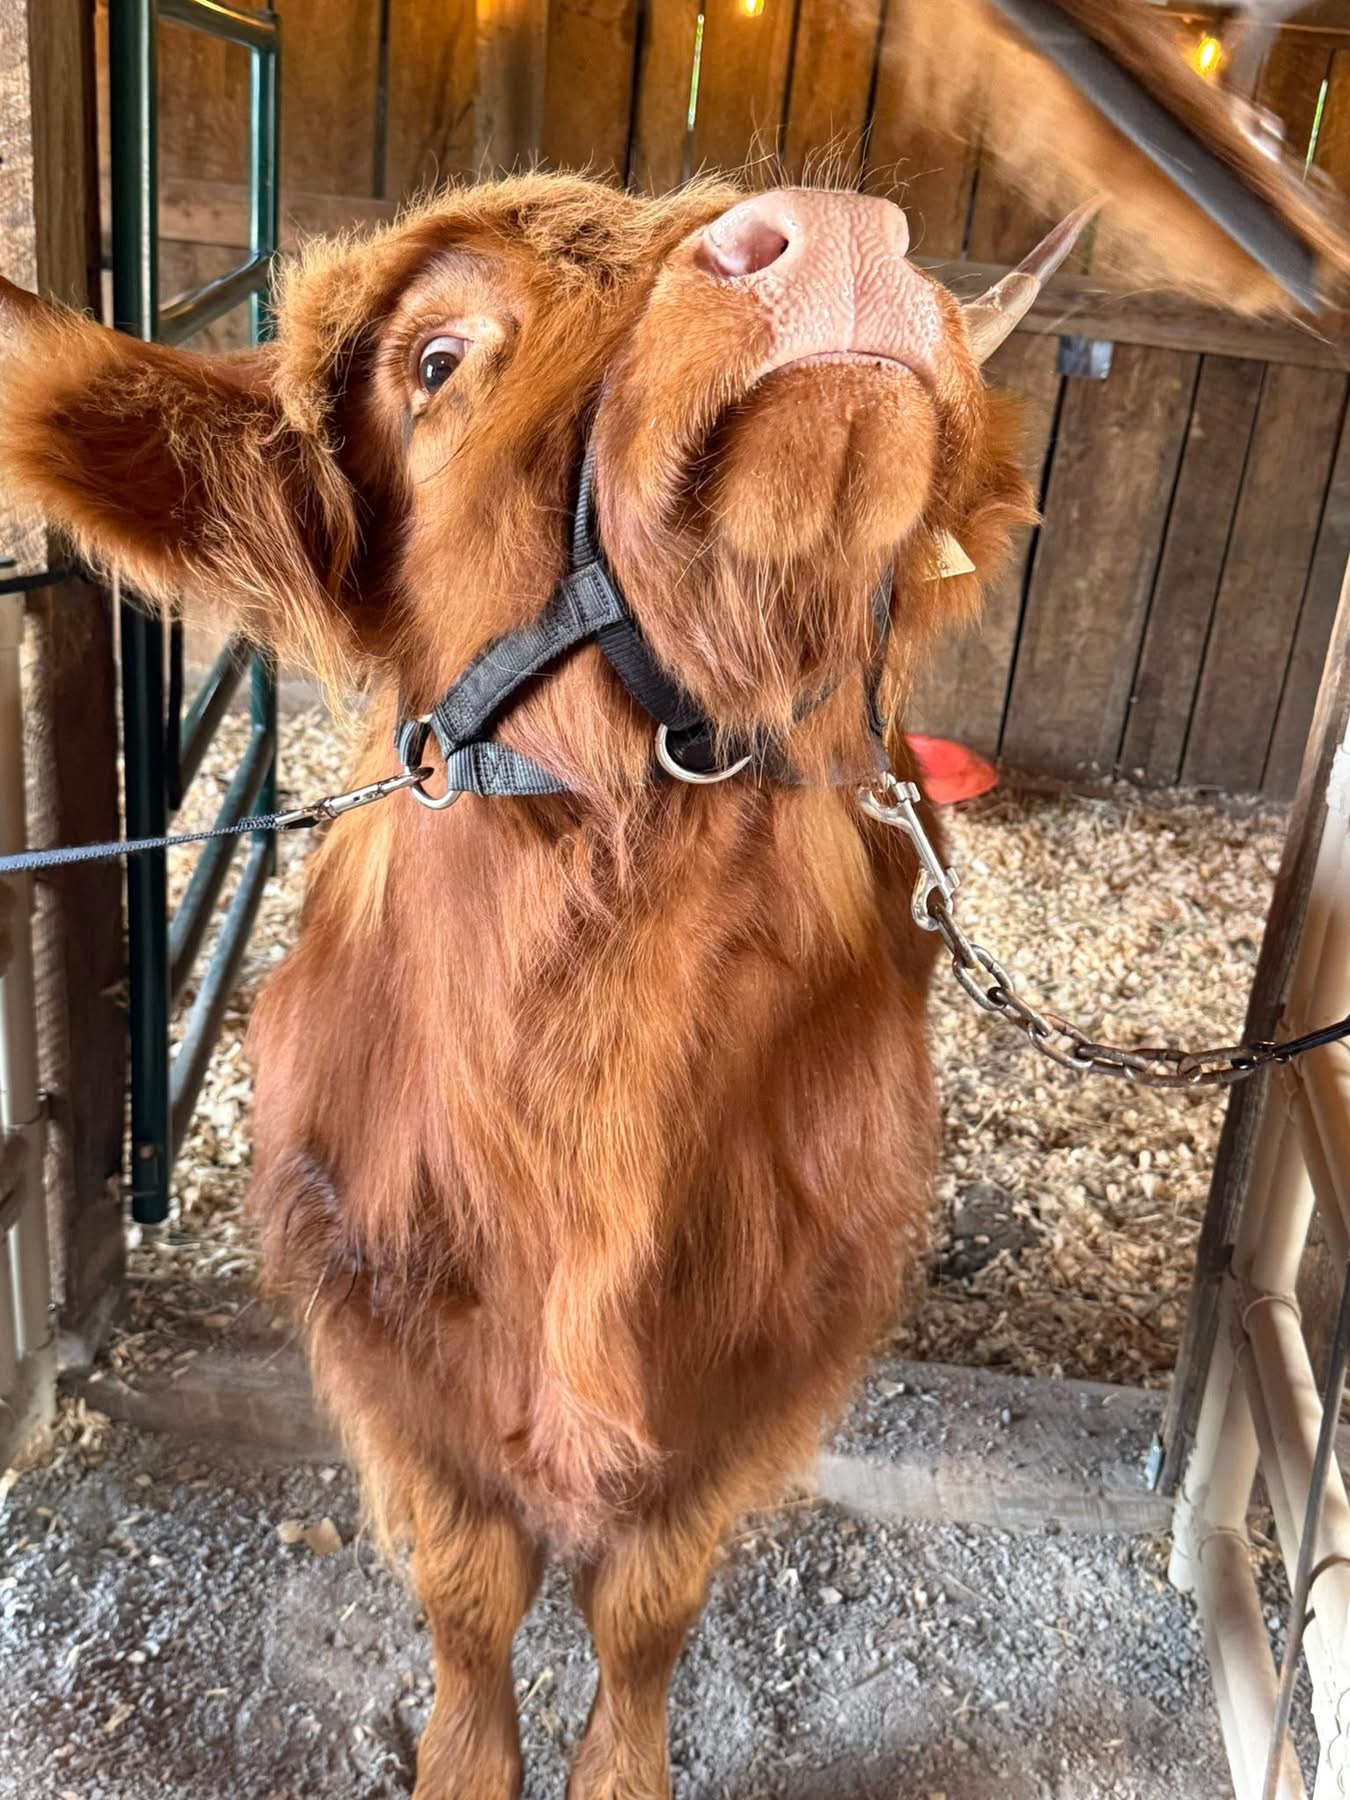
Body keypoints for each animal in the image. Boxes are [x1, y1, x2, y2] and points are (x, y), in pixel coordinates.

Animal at [0, 174, 1088, 1797]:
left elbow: (645, 1610)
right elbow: (469, 1594)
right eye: (438, 359)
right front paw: (464, 1761)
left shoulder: (762, 1364)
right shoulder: (387, 1350)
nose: (837, 231)